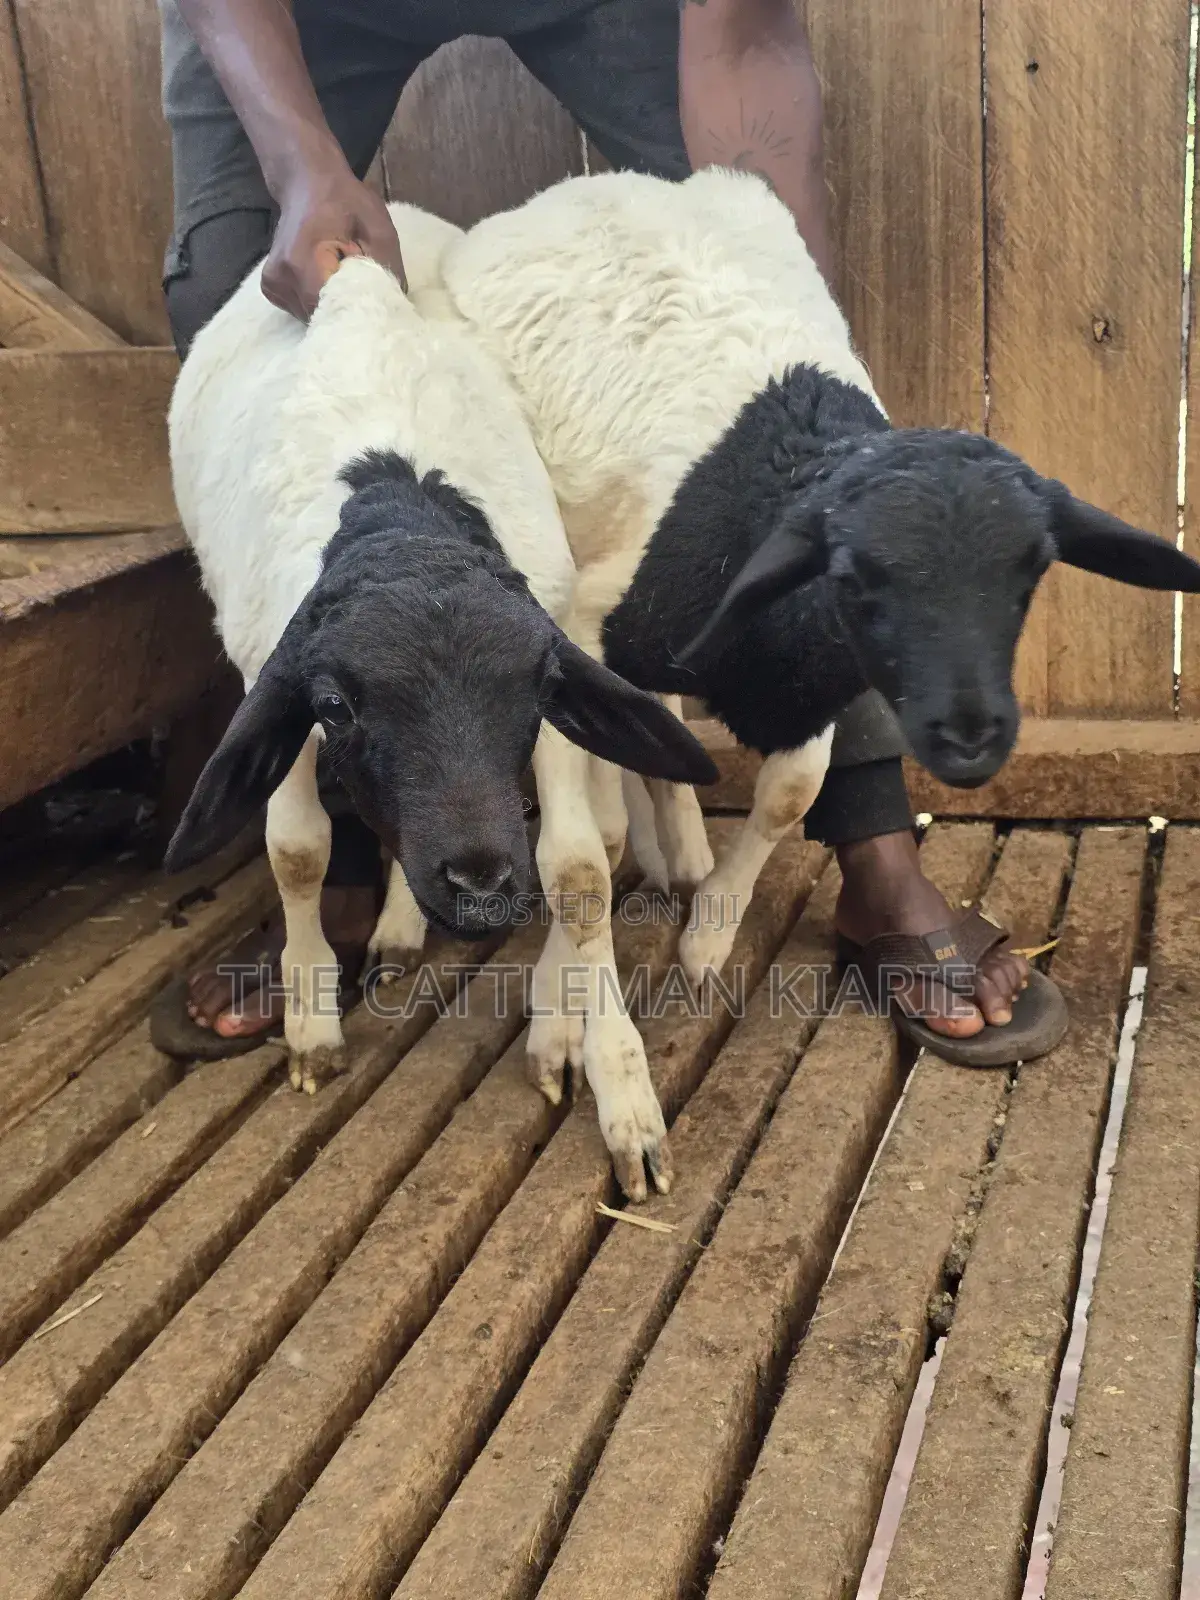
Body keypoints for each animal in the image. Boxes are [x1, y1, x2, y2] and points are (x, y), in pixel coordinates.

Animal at [162, 202, 715, 1202]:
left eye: (537, 688)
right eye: (335, 705)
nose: (482, 882)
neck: (398, 504)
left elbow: (580, 873)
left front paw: (624, 1096)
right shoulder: (275, 673)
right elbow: (297, 852)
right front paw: (310, 1023)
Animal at [434, 165, 1200, 1021]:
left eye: (1031, 569)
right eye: (853, 577)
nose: (971, 737)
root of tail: (580, 184)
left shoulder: (817, 680)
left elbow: (790, 795)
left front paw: (709, 934)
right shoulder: (576, 627)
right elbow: (576, 862)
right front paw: (576, 1022)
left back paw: (681, 848)